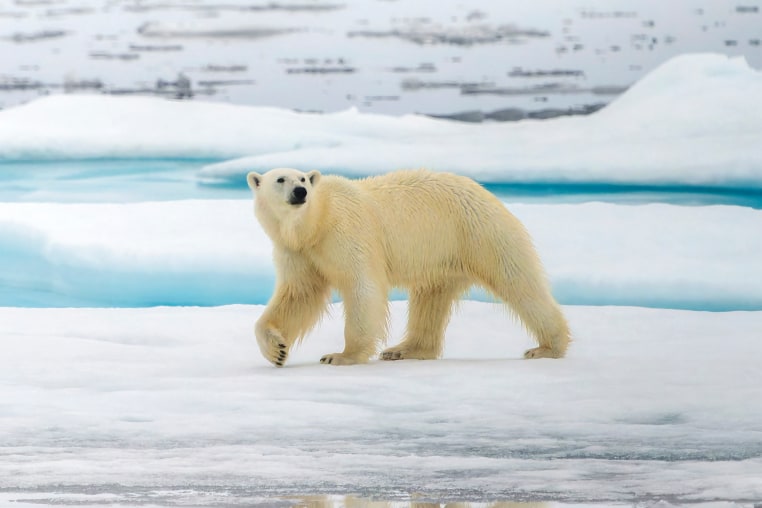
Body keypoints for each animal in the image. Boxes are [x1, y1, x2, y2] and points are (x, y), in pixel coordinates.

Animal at [247, 167, 570, 367]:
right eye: (281, 179)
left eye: (302, 178)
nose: (300, 192)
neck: (316, 222)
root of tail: (486, 193)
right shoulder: (298, 251)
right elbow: (298, 294)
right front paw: (276, 350)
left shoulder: (347, 232)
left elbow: (363, 287)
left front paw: (341, 356)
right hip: (442, 255)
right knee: (430, 299)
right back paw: (404, 349)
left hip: (479, 232)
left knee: (518, 282)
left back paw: (547, 347)